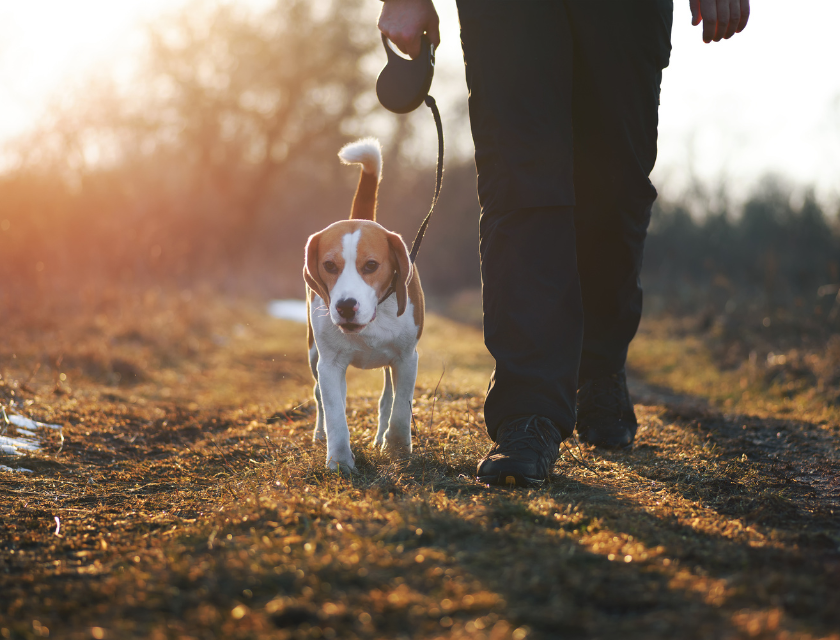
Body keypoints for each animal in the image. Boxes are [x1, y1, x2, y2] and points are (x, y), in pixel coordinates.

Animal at [302, 138, 424, 472]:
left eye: (371, 265)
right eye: (329, 266)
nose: (345, 307)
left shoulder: (407, 358)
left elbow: (400, 408)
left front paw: (397, 449)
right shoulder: (330, 364)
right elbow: (335, 414)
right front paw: (340, 461)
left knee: (387, 400)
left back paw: (381, 438)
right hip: (314, 354)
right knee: (319, 397)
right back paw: (320, 434)